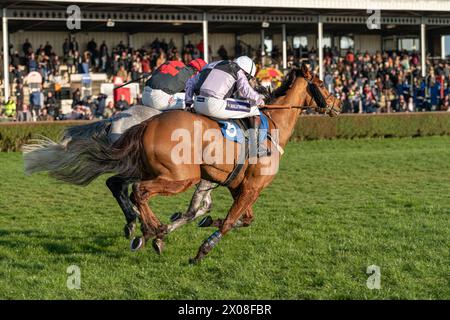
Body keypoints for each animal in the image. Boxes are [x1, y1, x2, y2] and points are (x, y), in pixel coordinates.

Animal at [22, 63, 340, 264]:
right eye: (321, 83)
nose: (337, 105)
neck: (273, 124)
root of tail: (143, 124)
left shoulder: (233, 185)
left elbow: (232, 217)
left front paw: (202, 221)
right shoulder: (250, 187)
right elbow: (227, 220)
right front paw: (202, 249)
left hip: (150, 169)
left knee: (119, 186)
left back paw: (141, 227)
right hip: (178, 176)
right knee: (137, 191)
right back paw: (151, 230)